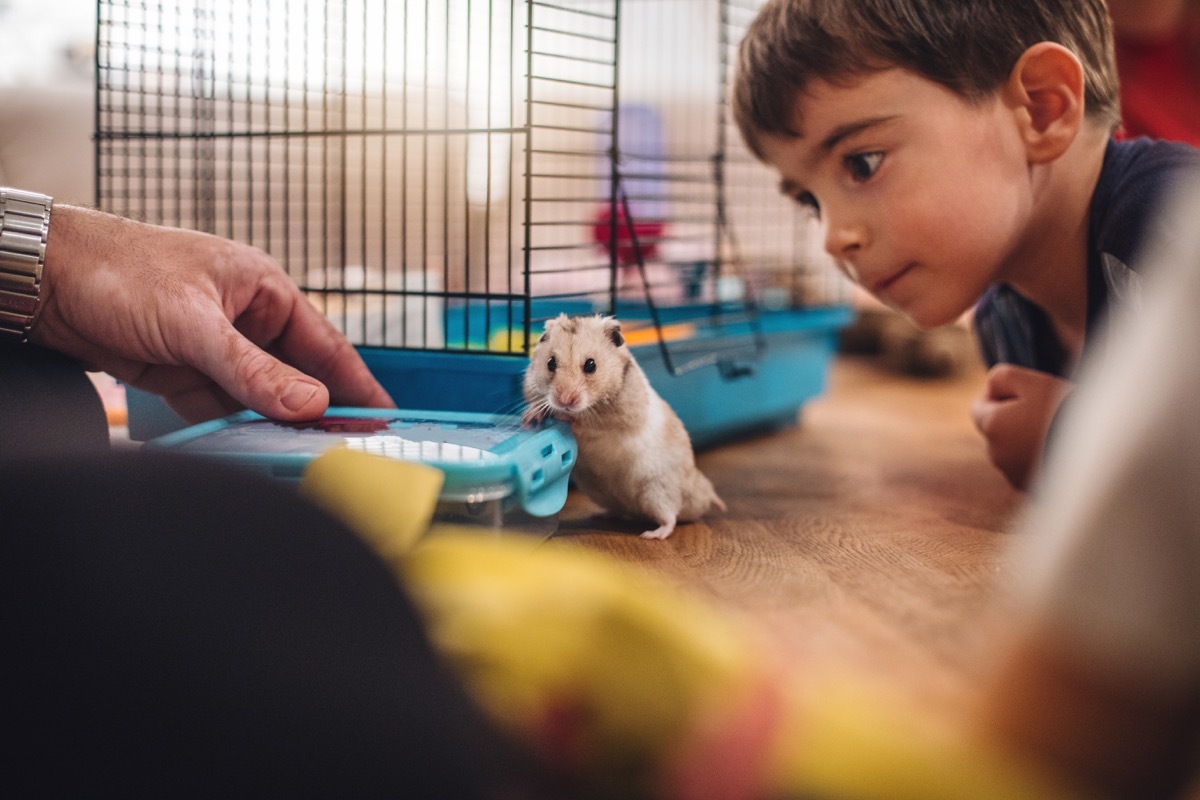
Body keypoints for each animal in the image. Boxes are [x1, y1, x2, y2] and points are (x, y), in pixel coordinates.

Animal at [523, 311, 724, 537]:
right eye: (550, 363)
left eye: (591, 365)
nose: (564, 400)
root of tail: (702, 496)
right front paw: (530, 417)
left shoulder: (615, 420)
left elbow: (587, 425)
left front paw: (562, 416)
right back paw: (601, 515)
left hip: (658, 491)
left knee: (670, 517)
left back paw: (652, 535)